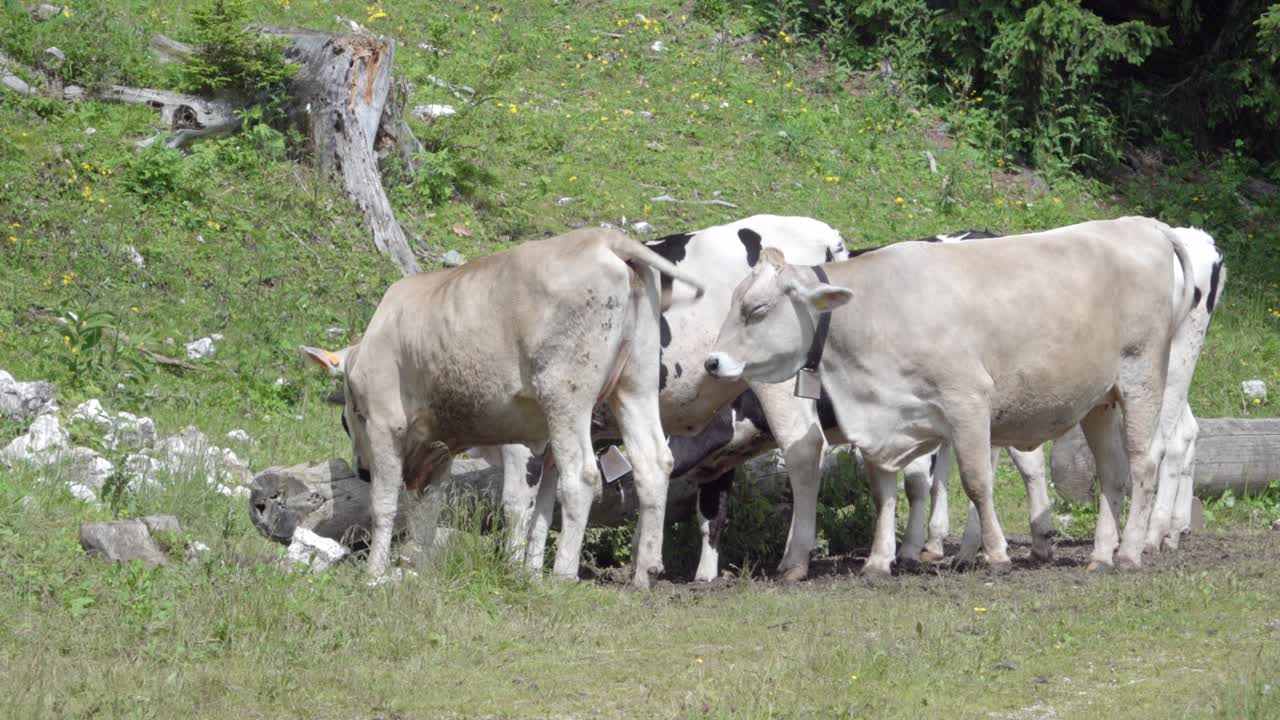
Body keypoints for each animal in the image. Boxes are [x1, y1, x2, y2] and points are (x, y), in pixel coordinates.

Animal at [332, 227, 704, 585]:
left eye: (346, 422)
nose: (362, 470)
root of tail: (603, 237)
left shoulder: (385, 422)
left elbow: (384, 505)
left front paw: (374, 573)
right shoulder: (439, 447)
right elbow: (427, 513)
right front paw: (419, 573)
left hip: (566, 395)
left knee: (581, 475)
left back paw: (563, 575)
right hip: (636, 384)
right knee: (653, 461)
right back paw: (645, 572)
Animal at [705, 217, 1196, 575]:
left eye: (756, 309)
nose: (712, 362)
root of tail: (1139, 223)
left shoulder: (968, 400)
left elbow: (977, 482)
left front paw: (996, 554)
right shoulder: (878, 420)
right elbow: (883, 491)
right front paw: (878, 561)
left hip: (1142, 379)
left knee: (1144, 463)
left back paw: (1129, 553)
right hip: (1099, 401)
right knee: (1112, 473)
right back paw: (1100, 556)